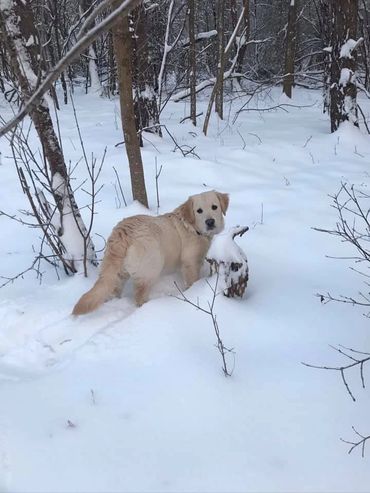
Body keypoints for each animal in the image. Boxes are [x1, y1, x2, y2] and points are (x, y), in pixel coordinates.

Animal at [72, 190, 228, 314]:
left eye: (214, 207)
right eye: (199, 210)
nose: (210, 222)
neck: (191, 226)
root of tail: (122, 233)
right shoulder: (190, 262)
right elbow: (193, 280)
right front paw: (194, 290)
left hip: (118, 273)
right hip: (151, 268)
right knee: (140, 294)